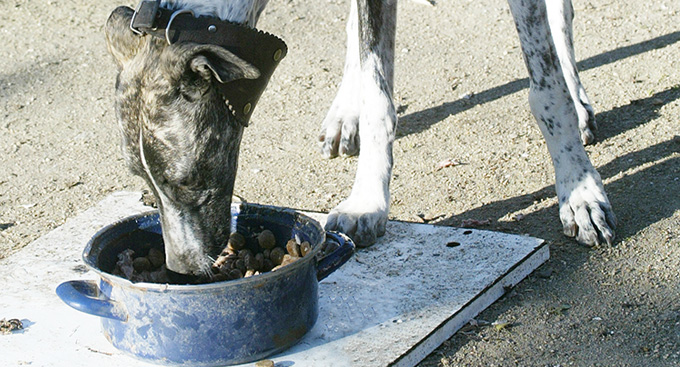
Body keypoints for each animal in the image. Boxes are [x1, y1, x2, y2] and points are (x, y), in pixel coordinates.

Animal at [105, 0, 616, 276]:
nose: (182, 271)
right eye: (146, 189)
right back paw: (344, 113)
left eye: (189, 181)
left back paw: (579, 101)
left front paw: (579, 191)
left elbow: (545, 88)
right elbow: (377, 92)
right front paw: (369, 200)